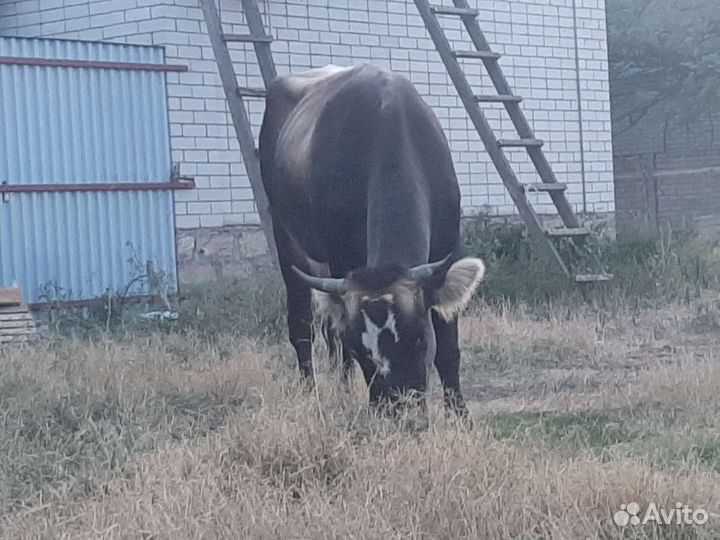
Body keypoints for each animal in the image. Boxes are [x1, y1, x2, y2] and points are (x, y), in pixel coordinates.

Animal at [258, 63, 485, 416]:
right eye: (362, 349)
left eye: (420, 337)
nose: (400, 410)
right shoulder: (341, 256)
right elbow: (339, 334)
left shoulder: (447, 243)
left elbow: (448, 346)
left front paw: (460, 415)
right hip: (286, 235)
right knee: (303, 326)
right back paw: (312, 392)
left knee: (329, 331)